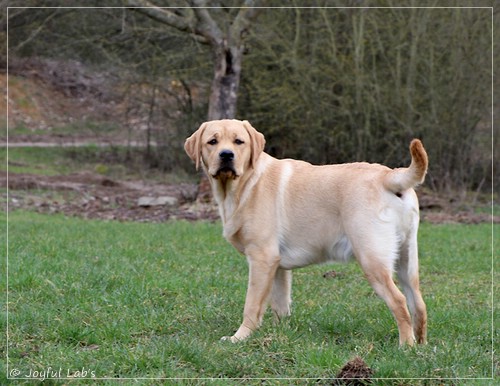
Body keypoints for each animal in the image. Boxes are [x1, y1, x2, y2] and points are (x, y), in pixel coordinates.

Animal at [186, 119, 428, 346]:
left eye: (239, 142)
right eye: (212, 142)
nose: (226, 155)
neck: (245, 184)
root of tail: (388, 175)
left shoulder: (262, 257)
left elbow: (252, 304)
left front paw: (240, 337)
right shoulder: (277, 265)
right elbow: (280, 305)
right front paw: (279, 335)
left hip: (372, 259)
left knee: (399, 302)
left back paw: (405, 346)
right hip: (407, 260)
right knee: (418, 304)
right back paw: (421, 345)